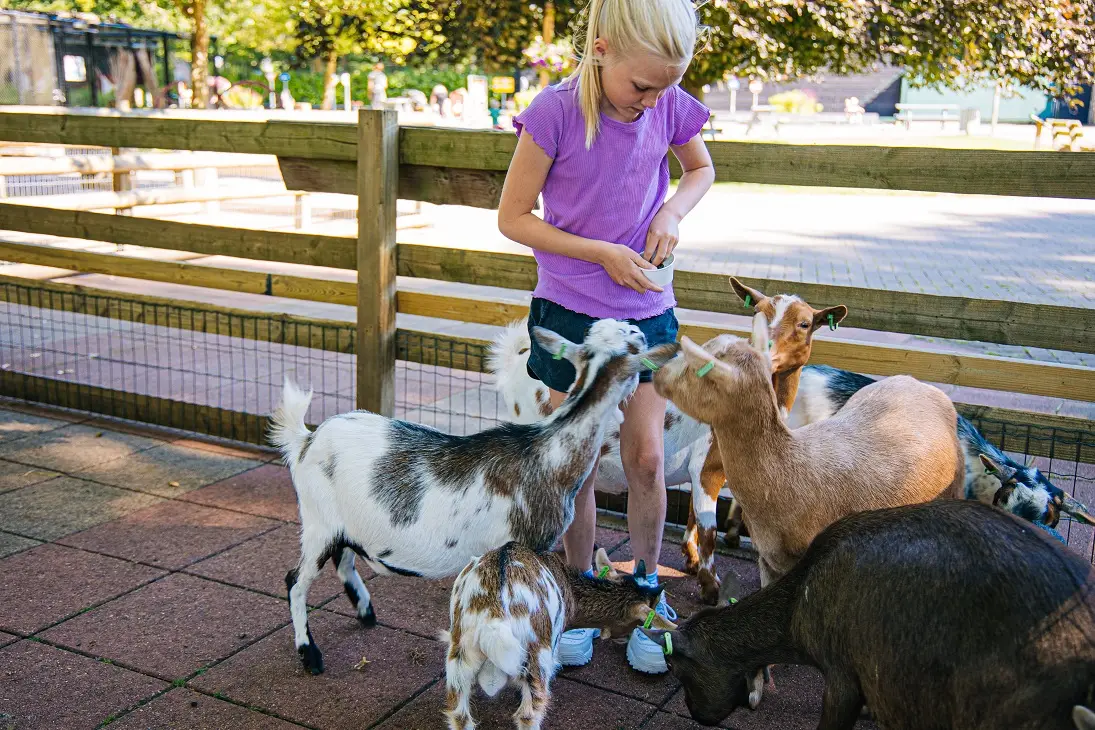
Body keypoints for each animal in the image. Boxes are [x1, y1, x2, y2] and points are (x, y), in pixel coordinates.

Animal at [267, 319, 674, 674]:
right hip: (317, 524)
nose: (642, 328)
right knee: (295, 581)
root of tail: (306, 439)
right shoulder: (527, 547)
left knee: (344, 559)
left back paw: (365, 611)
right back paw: (310, 654)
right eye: (633, 341)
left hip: (344, 522)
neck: (547, 450)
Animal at [440, 545, 670, 726]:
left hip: (459, 656)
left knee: (459, 715)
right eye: (643, 620)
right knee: (528, 715)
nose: (625, 639)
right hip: (537, 656)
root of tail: (493, 615)